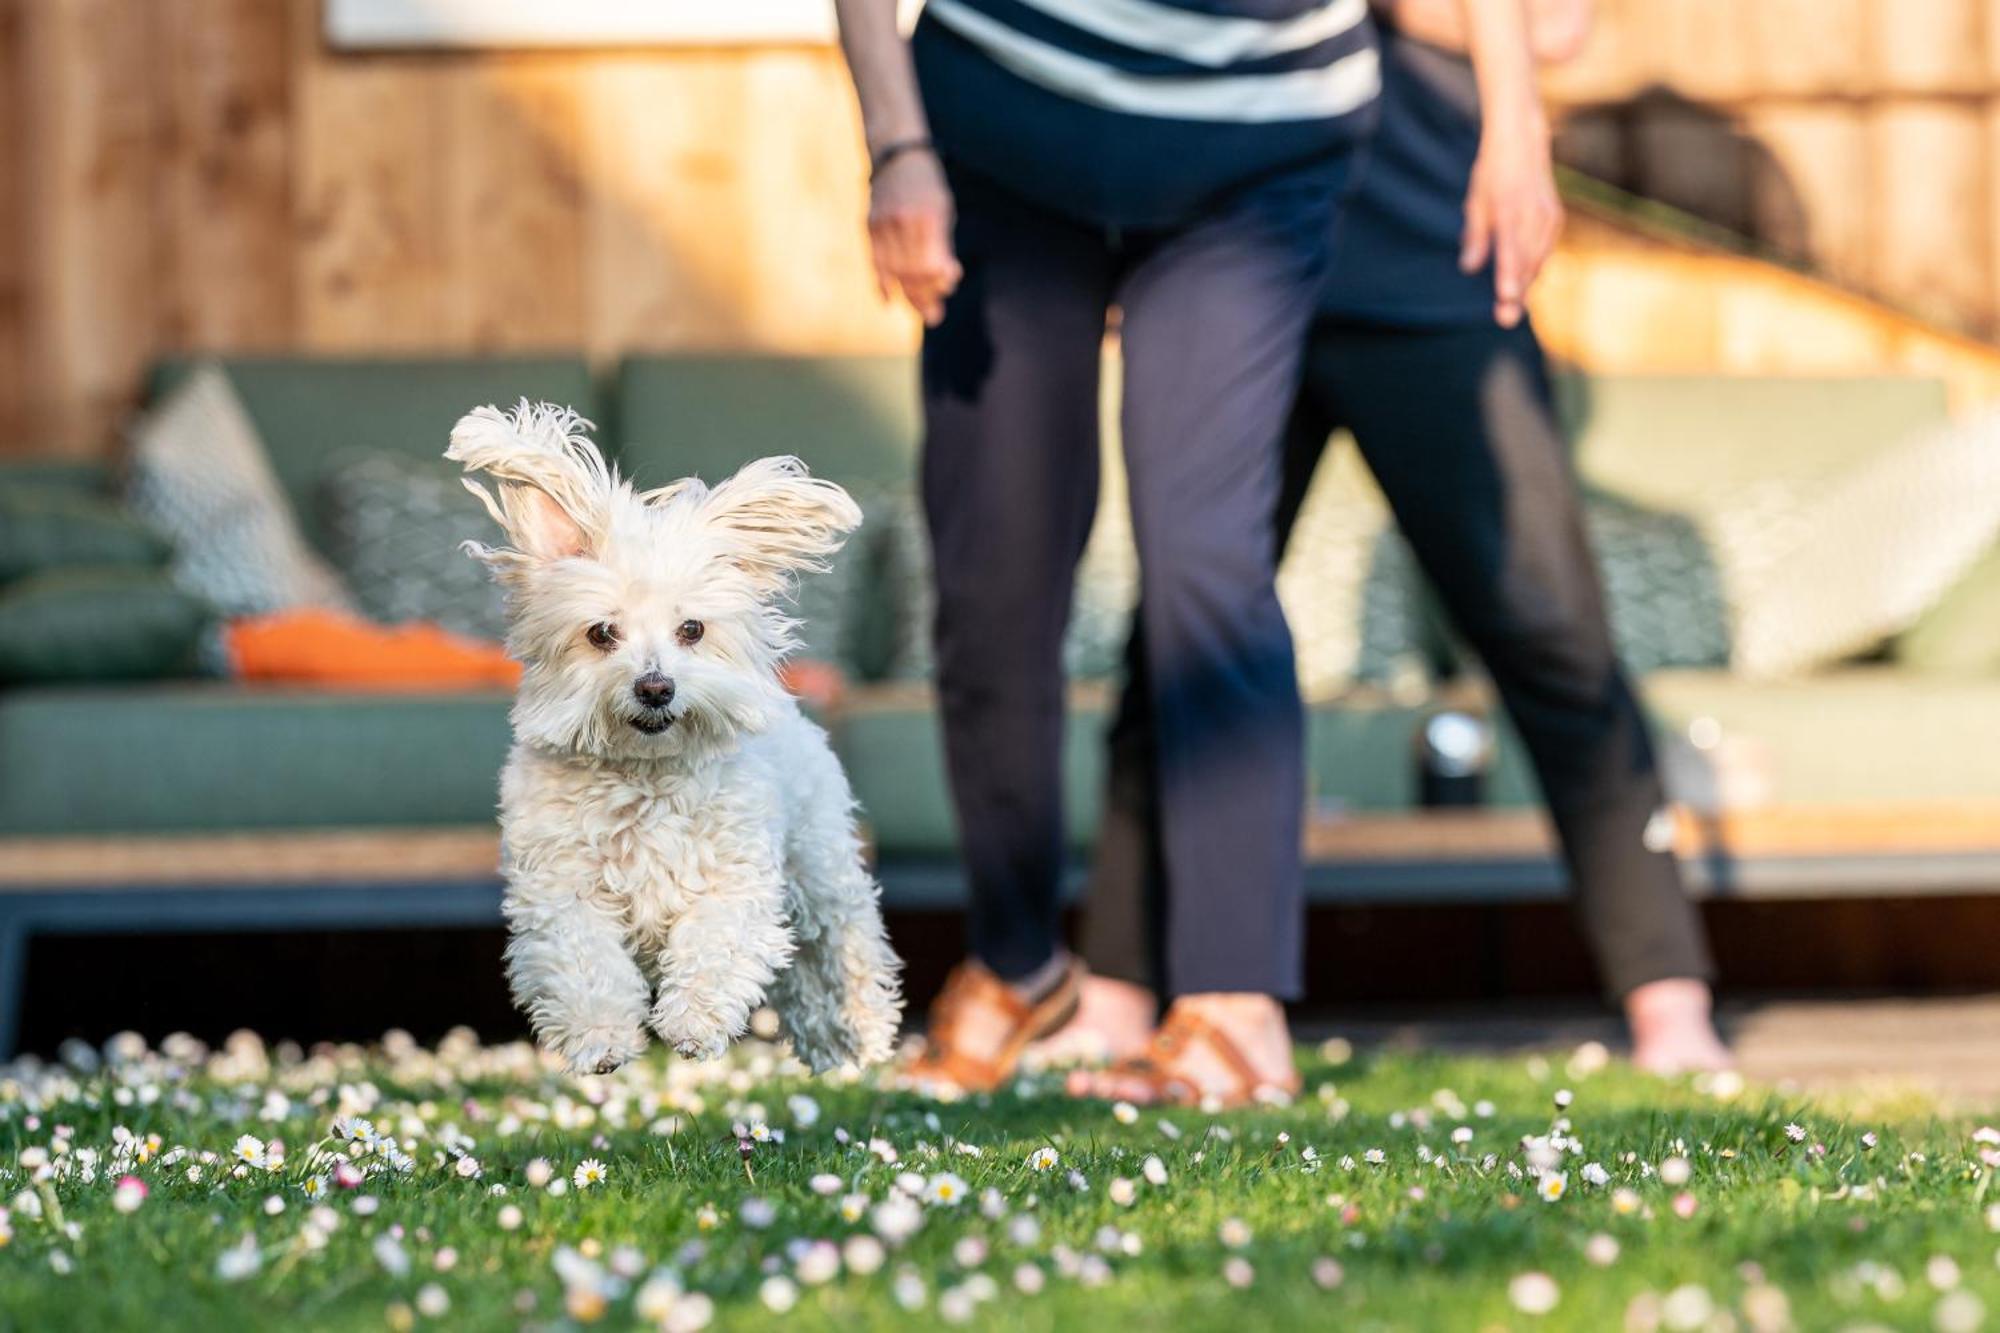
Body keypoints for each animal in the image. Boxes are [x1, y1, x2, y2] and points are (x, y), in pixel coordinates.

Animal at [450, 400, 904, 1072]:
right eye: (601, 632)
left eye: (692, 628)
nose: (655, 687)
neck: (646, 773)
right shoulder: (561, 891)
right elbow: (585, 961)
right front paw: (602, 1037)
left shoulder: (736, 880)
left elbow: (717, 942)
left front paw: (692, 1020)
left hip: (822, 870)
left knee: (841, 950)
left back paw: (861, 1031)